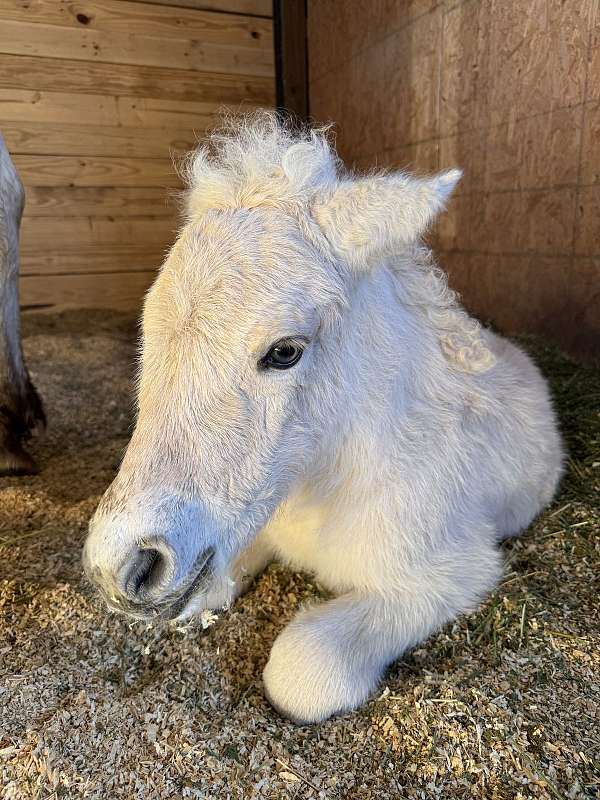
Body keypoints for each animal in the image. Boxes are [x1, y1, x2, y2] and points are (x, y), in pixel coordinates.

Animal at [84, 113, 563, 723]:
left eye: (285, 351)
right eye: (147, 331)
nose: (124, 566)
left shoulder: (453, 573)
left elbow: (304, 668)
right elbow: (214, 584)